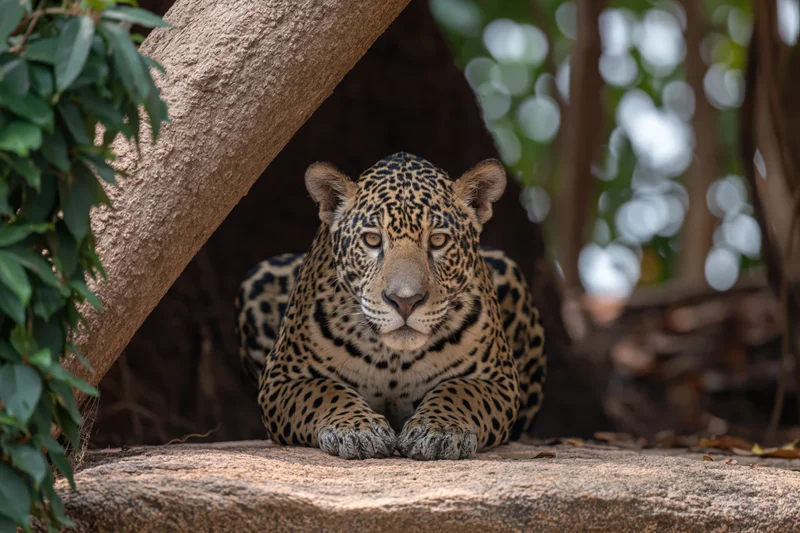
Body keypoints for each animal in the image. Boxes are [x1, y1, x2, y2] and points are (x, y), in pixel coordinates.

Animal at [235, 152, 546, 460]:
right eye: (372, 239)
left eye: (438, 240)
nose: (405, 300)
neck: (394, 358)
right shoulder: (280, 379)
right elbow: (324, 390)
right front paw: (358, 429)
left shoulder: (499, 380)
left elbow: (459, 391)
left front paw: (440, 430)